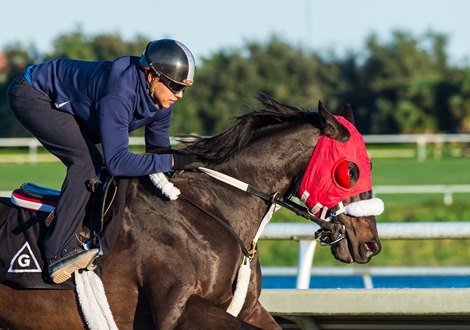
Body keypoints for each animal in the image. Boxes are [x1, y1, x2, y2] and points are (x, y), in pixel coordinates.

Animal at [0, 94, 382, 328]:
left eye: (369, 165)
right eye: (349, 171)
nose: (370, 244)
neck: (213, 209)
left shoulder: (249, 307)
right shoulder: (178, 310)